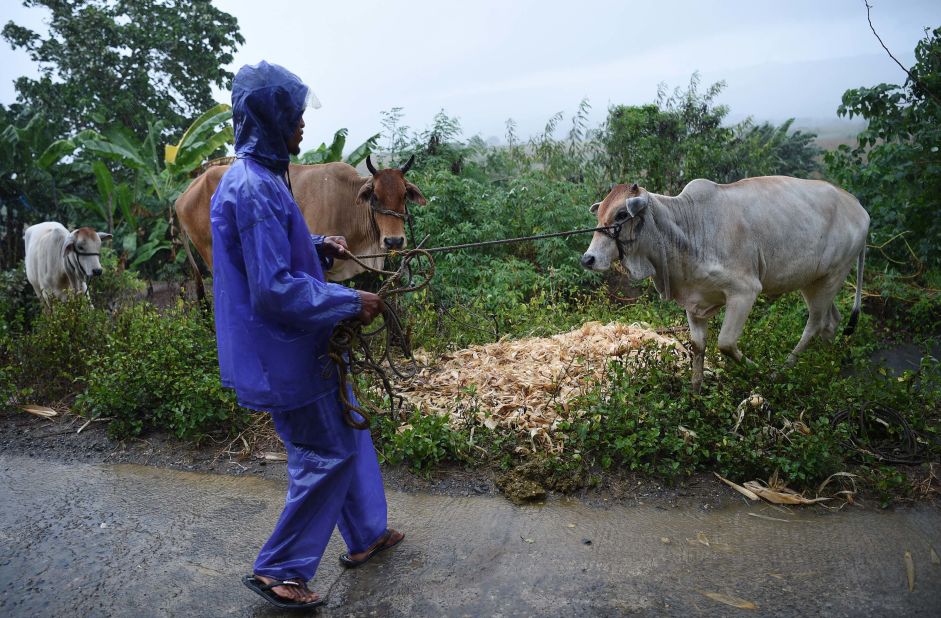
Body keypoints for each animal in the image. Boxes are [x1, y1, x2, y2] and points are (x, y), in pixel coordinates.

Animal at [580, 176, 868, 392]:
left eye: (621, 215)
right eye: (600, 214)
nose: (588, 259)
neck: (687, 229)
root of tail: (858, 207)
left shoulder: (745, 291)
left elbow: (726, 343)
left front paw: (757, 370)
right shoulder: (694, 301)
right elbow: (698, 346)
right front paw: (695, 394)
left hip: (832, 276)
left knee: (815, 324)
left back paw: (782, 371)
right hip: (813, 282)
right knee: (830, 321)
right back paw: (826, 364)